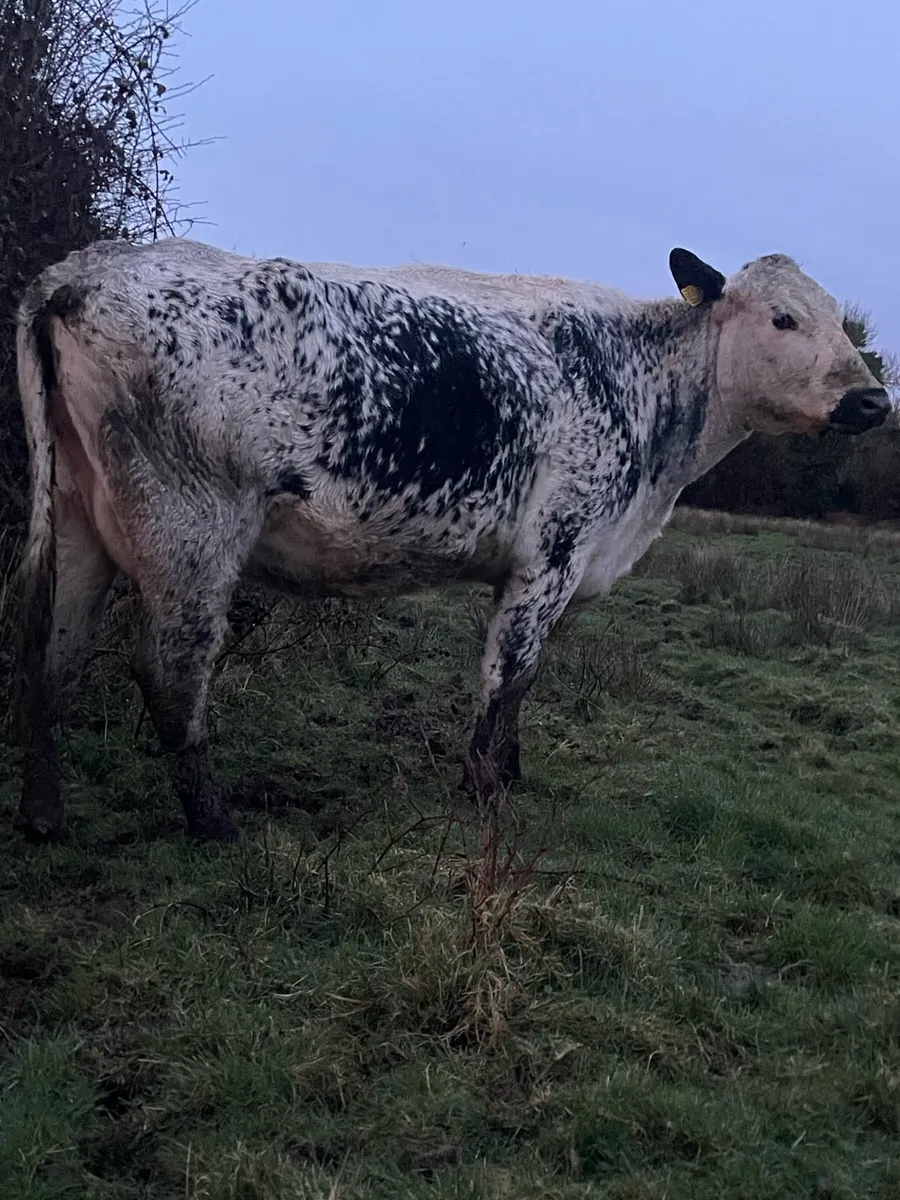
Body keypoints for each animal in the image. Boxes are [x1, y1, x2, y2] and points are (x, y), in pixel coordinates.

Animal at [12, 238, 888, 843]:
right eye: (784, 318)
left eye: (838, 318)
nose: (874, 399)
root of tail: (82, 270)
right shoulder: (554, 549)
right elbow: (510, 673)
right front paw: (485, 790)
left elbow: (526, 682)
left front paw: (511, 773)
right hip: (190, 532)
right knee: (169, 674)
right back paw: (215, 825)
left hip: (79, 515)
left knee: (51, 659)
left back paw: (45, 817)